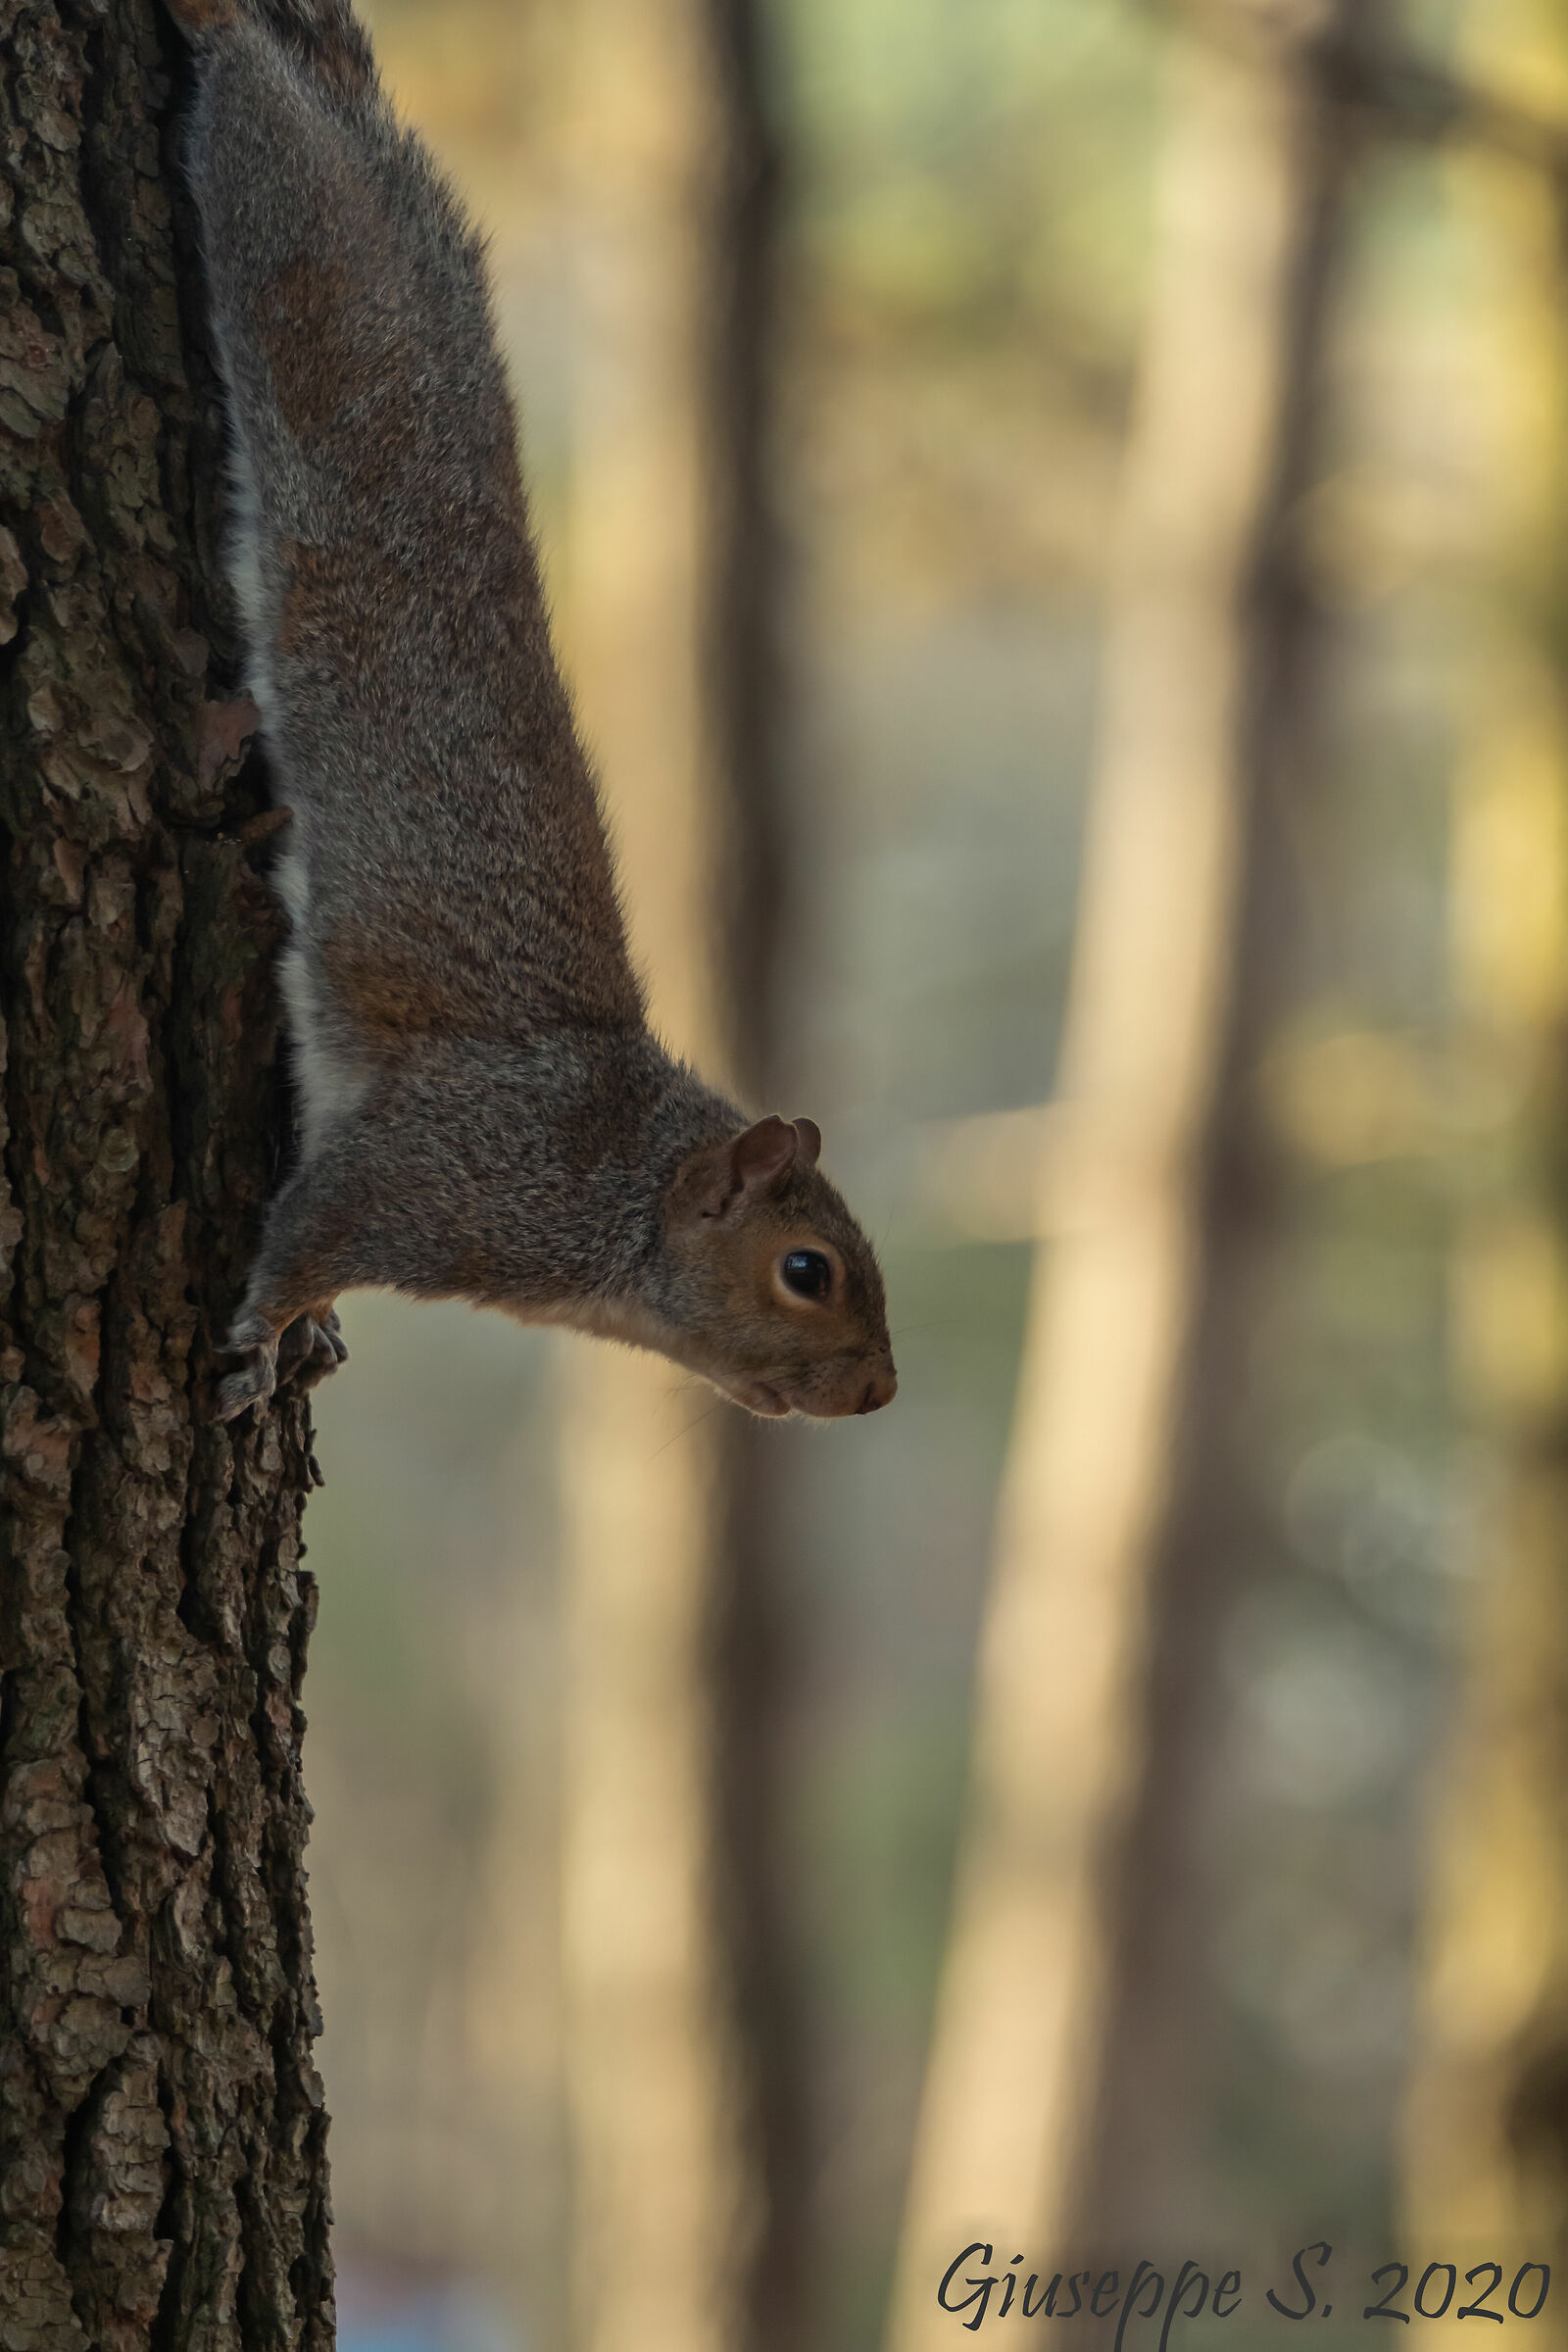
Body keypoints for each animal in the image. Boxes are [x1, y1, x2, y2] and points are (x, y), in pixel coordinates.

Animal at [161, 0, 897, 1425]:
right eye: (808, 1271)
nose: (878, 1391)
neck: (611, 1190)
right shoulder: (439, 1174)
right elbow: (308, 1232)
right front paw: (264, 1339)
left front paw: (302, 1335)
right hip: (291, 245)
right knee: (261, 124)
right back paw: (217, 29)